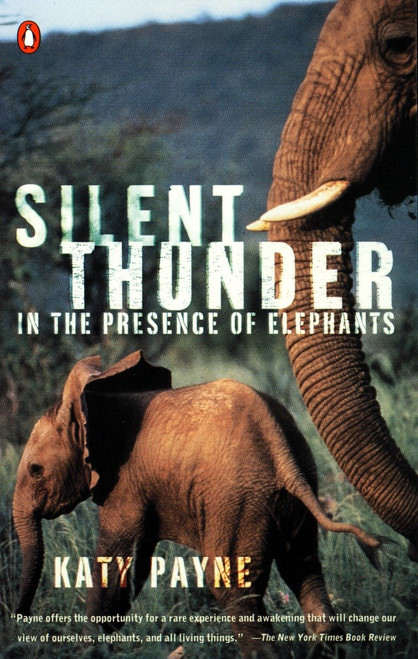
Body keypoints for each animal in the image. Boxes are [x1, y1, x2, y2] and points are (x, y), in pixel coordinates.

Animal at [13, 350, 379, 658]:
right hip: (294, 491)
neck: (91, 404)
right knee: (303, 568)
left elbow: (117, 568)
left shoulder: (126, 487)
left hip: (237, 498)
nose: (20, 617)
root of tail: (278, 444)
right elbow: (135, 567)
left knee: (232, 585)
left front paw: (86, 652)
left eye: (35, 471)